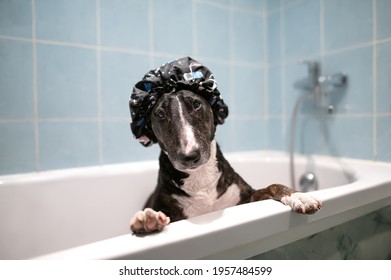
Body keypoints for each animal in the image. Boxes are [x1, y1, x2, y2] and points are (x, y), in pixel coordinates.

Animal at [130, 57, 324, 234]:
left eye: (196, 104)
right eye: (160, 114)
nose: (189, 156)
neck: (200, 178)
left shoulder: (247, 198)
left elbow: (273, 185)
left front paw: (298, 196)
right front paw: (148, 218)